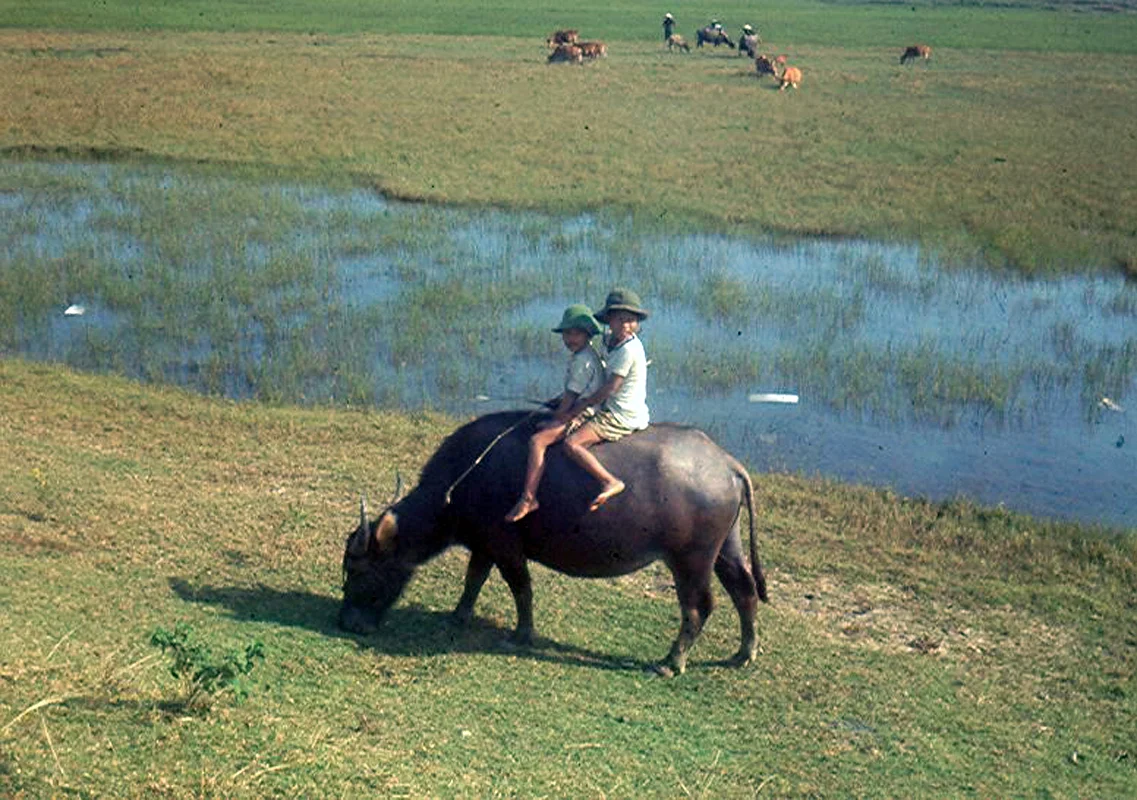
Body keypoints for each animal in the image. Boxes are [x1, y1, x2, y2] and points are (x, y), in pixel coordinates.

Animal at [334, 413, 764, 672]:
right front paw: (458, 614)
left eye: (359, 570)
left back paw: (671, 661)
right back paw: (743, 653)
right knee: (744, 591)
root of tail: (725, 463)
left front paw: (521, 634)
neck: (462, 480)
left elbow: (521, 588)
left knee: (698, 606)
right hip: (727, 548)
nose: (347, 623)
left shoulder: (506, 546)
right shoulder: (484, 544)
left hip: (690, 559)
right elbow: (474, 578)